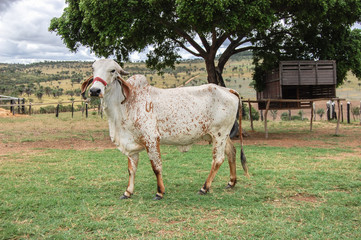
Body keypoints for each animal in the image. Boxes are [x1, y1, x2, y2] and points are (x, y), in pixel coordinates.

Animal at [81, 59, 248, 200]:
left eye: (113, 70)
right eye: (93, 69)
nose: (95, 90)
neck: (125, 105)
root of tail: (228, 90)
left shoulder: (151, 138)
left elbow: (156, 167)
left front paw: (160, 192)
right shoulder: (130, 144)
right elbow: (131, 169)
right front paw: (128, 192)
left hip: (219, 134)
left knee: (218, 159)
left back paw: (204, 188)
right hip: (222, 135)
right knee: (231, 152)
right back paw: (231, 182)